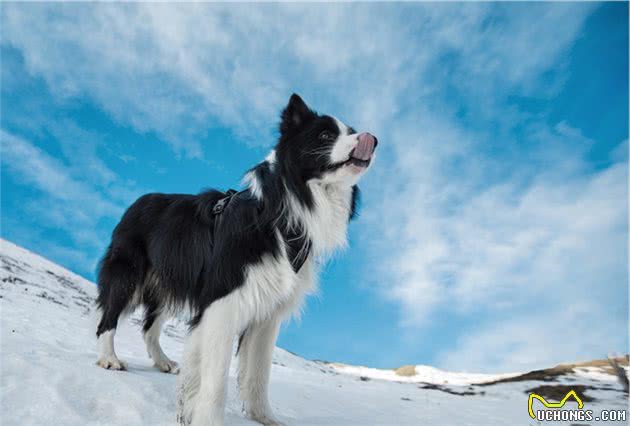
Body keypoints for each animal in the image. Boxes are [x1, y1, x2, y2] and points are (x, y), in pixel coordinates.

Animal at [96, 94, 378, 426]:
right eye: (324, 135)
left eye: (352, 131)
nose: (371, 139)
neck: (279, 216)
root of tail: (138, 201)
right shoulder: (223, 302)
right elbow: (216, 379)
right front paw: (205, 419)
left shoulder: (267, 314)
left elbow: (257, 374)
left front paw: (264, 418)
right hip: (129, 274)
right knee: (108, 317)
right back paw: (109, 359)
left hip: (169, 282)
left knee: (150, 326)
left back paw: (163, 362)